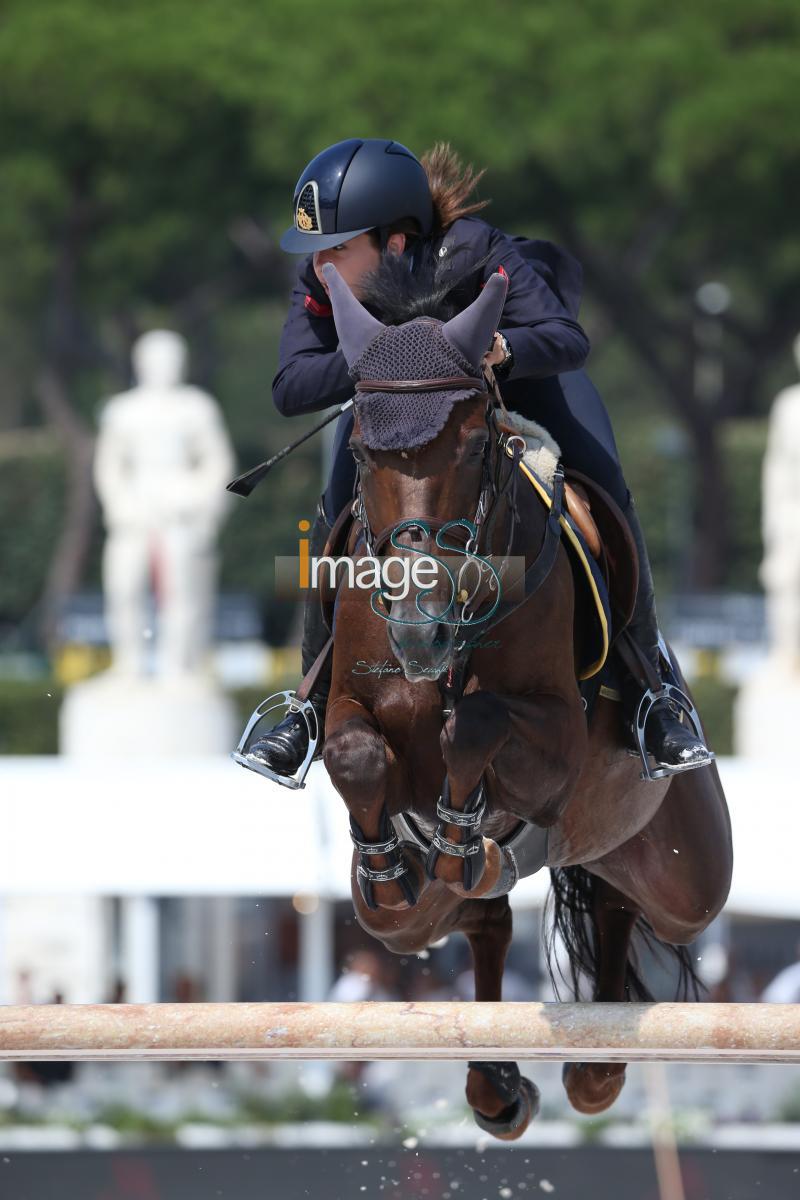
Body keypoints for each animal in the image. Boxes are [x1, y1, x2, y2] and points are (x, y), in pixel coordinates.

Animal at [316, 260, 734, 1132]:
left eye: (476, 446)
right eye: (365, 451)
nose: (419, 630)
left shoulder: (556, 748)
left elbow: (473, 722)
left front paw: (458, 817)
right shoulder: (352, 709)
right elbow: (355, 751)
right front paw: (392, 862)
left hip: (688, 871)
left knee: (622, 903)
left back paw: (592, 1070)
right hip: (419, 924)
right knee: (471, 913)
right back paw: (499, 1078)